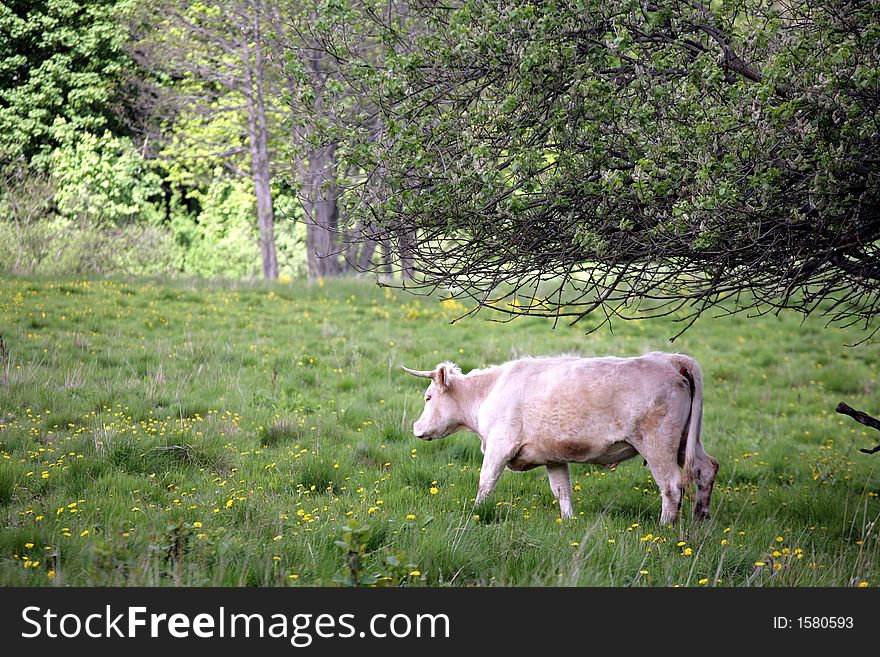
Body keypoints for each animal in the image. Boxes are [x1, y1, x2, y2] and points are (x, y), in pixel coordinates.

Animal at [402, 354, 720, 524]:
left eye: (428, 397)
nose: (416, 428)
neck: (489, 390)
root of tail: (671, 359)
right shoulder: (553, 457)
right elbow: (562, 491)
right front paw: (568, 522)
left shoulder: (498, 447)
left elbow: (486, 482)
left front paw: (475, 512)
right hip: (685, 442)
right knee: (706, 469)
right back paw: (700, 518)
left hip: (657, 445)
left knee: (672, 486)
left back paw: (665, 527)